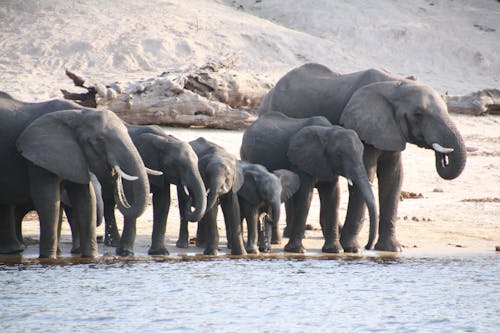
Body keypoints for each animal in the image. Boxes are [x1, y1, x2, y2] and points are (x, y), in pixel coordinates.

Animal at [0, 92, 150, 258]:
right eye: (99, 141)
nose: (114, 174)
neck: (78, 114)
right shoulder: (38, 157)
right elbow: (48, 200)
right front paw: (48, 258)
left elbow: (86, 200)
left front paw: (90, 257)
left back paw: (12, 251)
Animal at [103, 123, 207, 255]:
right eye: (176, 165)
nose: (188, 196)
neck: (164, 140)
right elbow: (132, 199)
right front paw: (125, 253)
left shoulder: (163, 173)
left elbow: (162, 203)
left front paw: (159, 253)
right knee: (107, 201)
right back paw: (113, 244)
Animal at [240, 111, 376, 252]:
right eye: (339, 155)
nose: (368, 247)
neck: (328, 132)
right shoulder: (301, 160)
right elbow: (305, 196)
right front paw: (297, 250)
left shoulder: (327, 164)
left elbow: (333, 197)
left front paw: (334, 250)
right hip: (245, 153)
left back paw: (274, 242)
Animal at [260, 62, 466, 252]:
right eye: (418, 114)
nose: (443, 157)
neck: (395, 85)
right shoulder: (363, 126)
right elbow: (368, 174)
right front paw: (352, 248)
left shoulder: (390, 130)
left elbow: (393, 178)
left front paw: (391, 249)